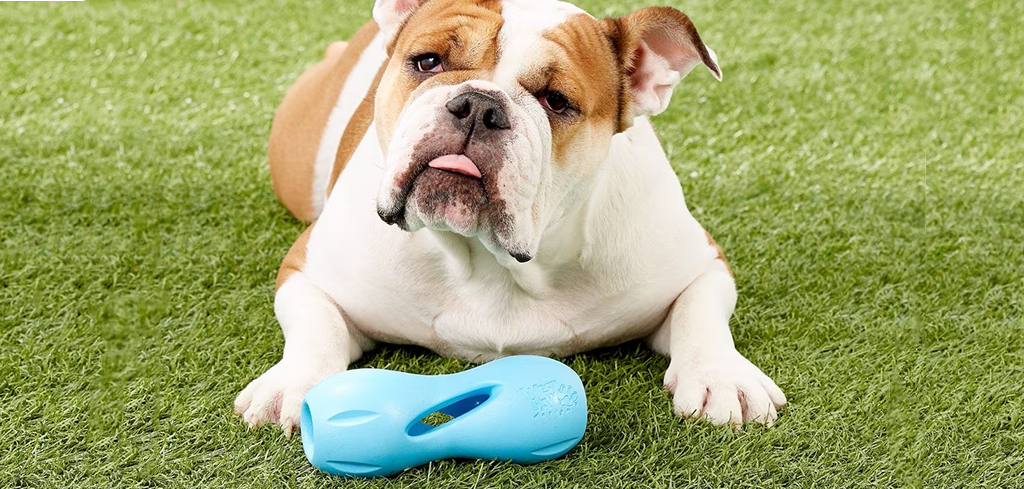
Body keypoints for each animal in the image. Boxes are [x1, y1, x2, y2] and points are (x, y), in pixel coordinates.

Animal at [235, 0, 786, 435]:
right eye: (428, 62)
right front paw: (294, 383)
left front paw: (721, 376)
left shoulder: (700, 264)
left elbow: (701, 312)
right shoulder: (309, 271)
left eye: (556, 101)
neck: (492, 259)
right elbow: (316, 325)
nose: (478, 104)